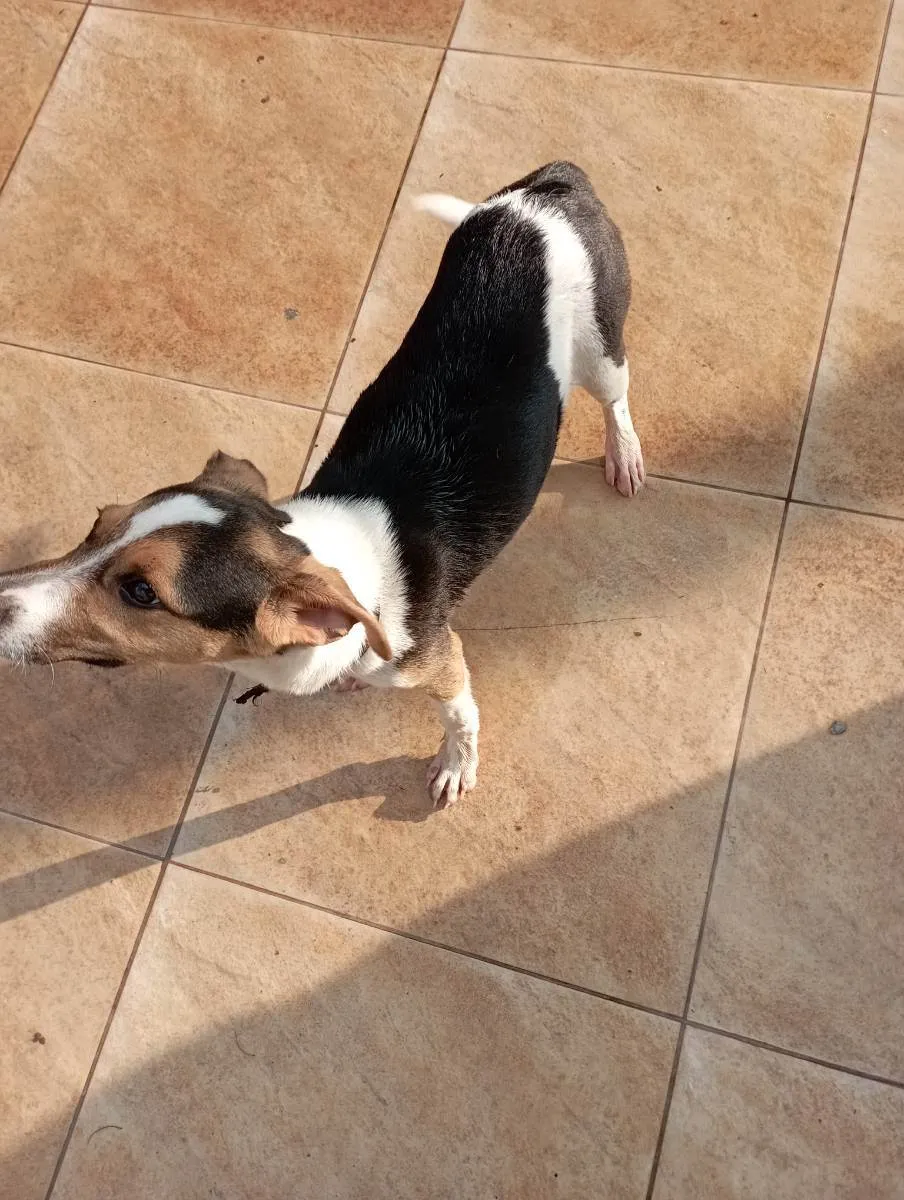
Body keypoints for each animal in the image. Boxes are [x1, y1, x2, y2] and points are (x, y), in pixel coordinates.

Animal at [0, 162, 643, 807]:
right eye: (96, 525)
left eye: (141, 592)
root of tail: (545, 190)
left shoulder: (439, 660)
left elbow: (460, 714)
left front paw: (457, 765)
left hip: (600, 348)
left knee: (615, 397)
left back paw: (625, 454)